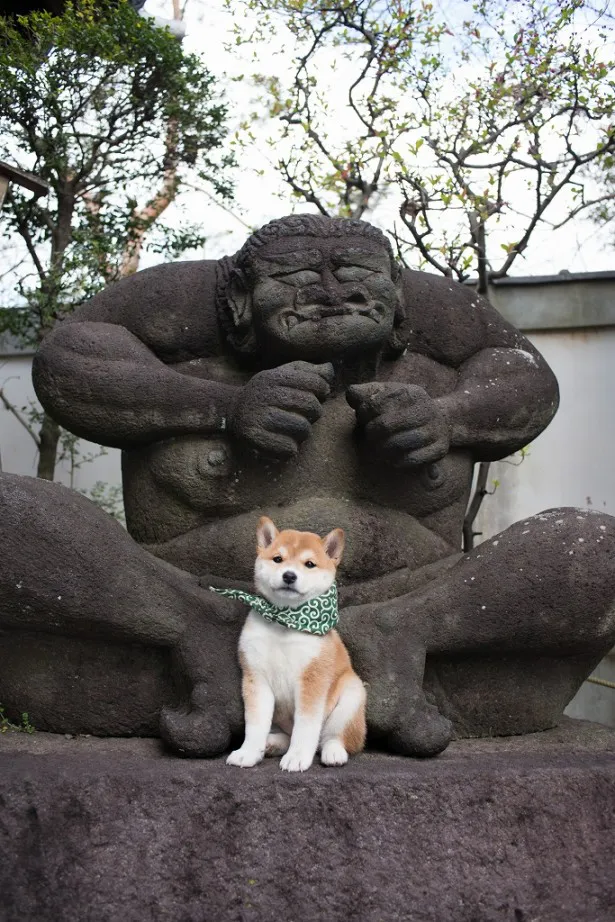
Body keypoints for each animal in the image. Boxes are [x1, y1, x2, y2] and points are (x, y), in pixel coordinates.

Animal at [221, 516, 366, 768]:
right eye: (278, 559)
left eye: (309, 564)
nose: (289, 576)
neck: (285, 621)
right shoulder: (256, 678)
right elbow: (255, 725)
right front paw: (248, 752)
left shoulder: (312, 680)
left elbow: (305, 727)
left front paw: (297, 757)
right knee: (287, 735)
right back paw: (272, 743)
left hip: (351, 697)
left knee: (332, 737)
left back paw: (333, 752)